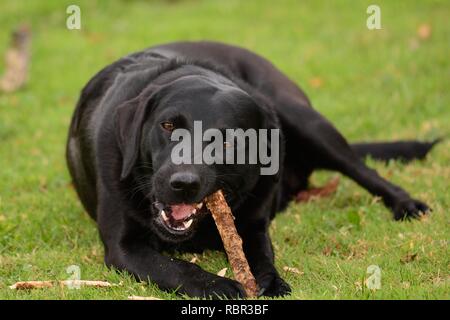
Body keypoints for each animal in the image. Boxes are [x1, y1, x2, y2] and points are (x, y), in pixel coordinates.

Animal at [67, 40, 440, 298]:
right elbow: (175, 267)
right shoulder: (124, 247)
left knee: (365, 171)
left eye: (229, 141)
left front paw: (270, 282)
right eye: (168, 125)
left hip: (304, 119)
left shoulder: (253, 224)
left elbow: (261, 254)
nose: (183, 183)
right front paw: (220, 287)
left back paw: (406, 204)